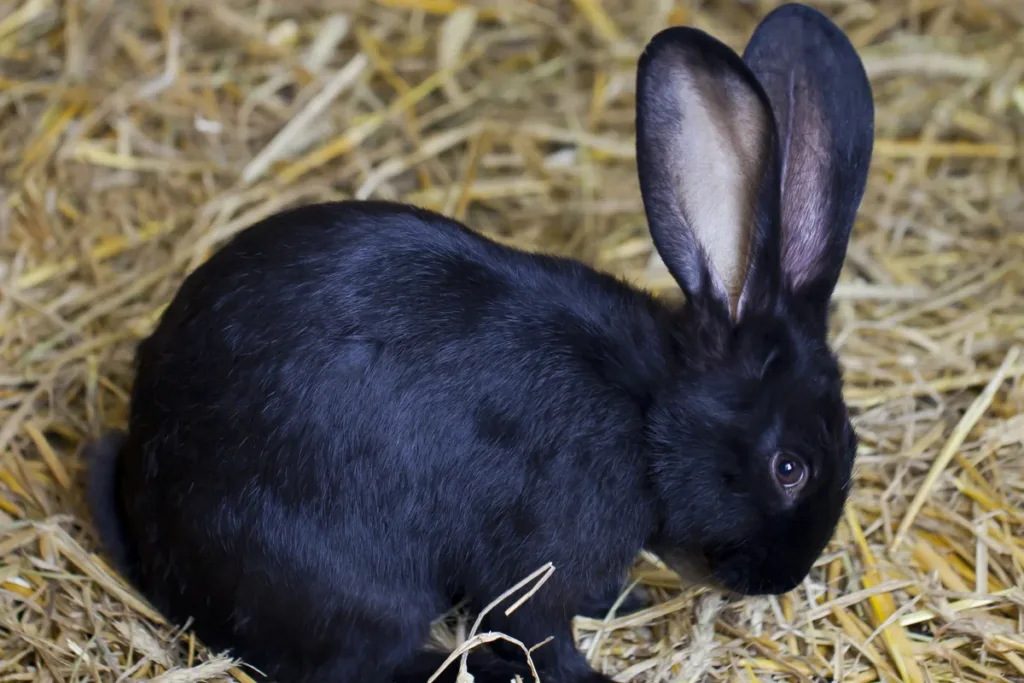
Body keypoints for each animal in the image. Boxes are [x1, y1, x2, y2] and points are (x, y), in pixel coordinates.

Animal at [83, 4, 873, 683]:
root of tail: (157, 540)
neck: (647, 416)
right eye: (790, 468)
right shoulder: (533, 560)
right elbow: (541, 632)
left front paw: (629, 600)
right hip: (341, 582)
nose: (785, 577)